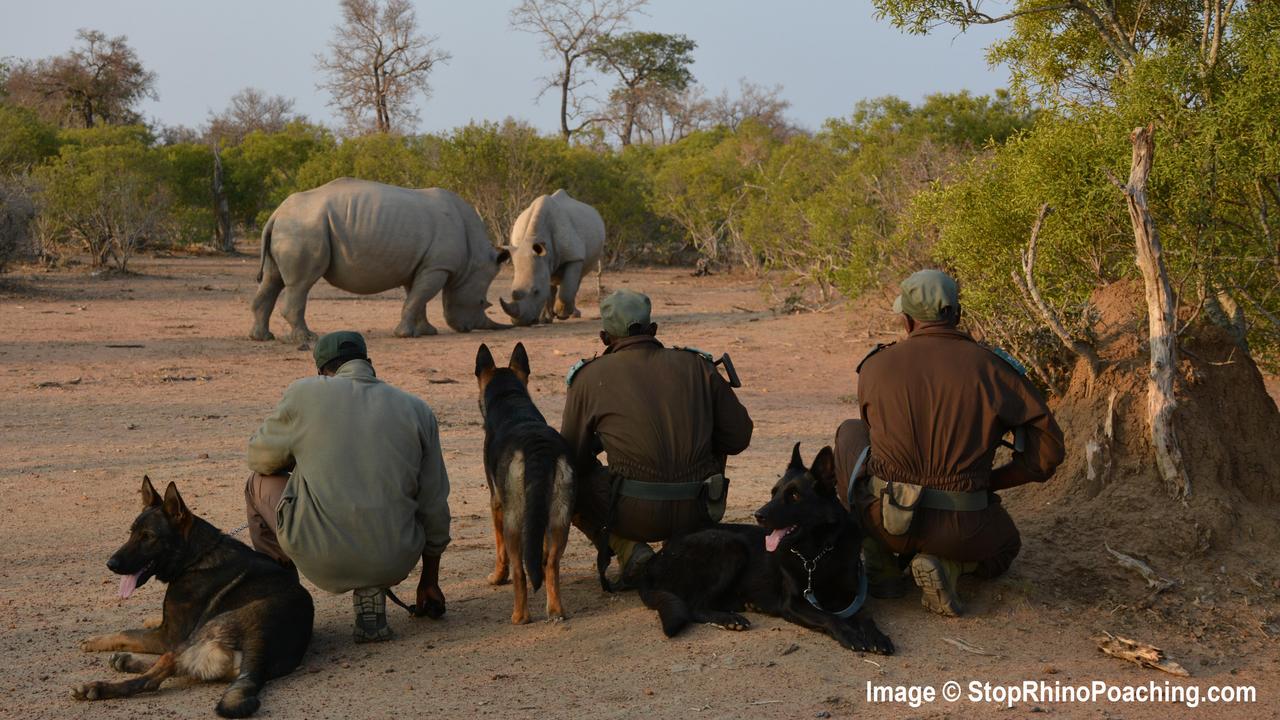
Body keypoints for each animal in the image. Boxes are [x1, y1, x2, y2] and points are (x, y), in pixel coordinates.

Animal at [74, 474, 314, 712]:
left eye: (148, 536)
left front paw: (95, 640)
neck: (196, 556)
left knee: (153, 676)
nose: (111, 564)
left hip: (196, 636)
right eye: (131, 533)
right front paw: (149, 619)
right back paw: (125, 662)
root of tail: (262, 643)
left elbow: (127, 632)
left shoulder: (168, 636)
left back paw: (96, 688)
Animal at [249, 175, 509, 338]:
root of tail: (276, 213)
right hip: (304, 227)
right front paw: (405, 335)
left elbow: (417, 298)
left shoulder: (423, 266)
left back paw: (262, 337)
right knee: (300, 284)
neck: (474, 258)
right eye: (482, 302)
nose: (468, 328)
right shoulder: (439, 266)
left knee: (272, 279)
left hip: (290, 227)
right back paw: (306, 338)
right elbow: (418, 298)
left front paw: (427, 332)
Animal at [476, 340, 576, 622]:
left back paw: (520, 616)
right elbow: (539, 547)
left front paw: (497, 577)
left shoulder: (496, 504)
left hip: (513, 520)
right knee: (552, 564)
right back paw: (555, 610)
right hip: (561, 518)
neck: (511, 401)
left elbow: (501, 553)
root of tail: (537, 446)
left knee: (519, 570)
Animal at [496, 189, 601, 326]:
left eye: (536, 291)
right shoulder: (542, 260)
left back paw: (573, 314)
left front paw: (562, 315)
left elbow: (567, 289)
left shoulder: (574, 256)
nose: (519, 322)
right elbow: (547, 287)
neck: (533, 237)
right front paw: (544, 320)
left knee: (577, 279)